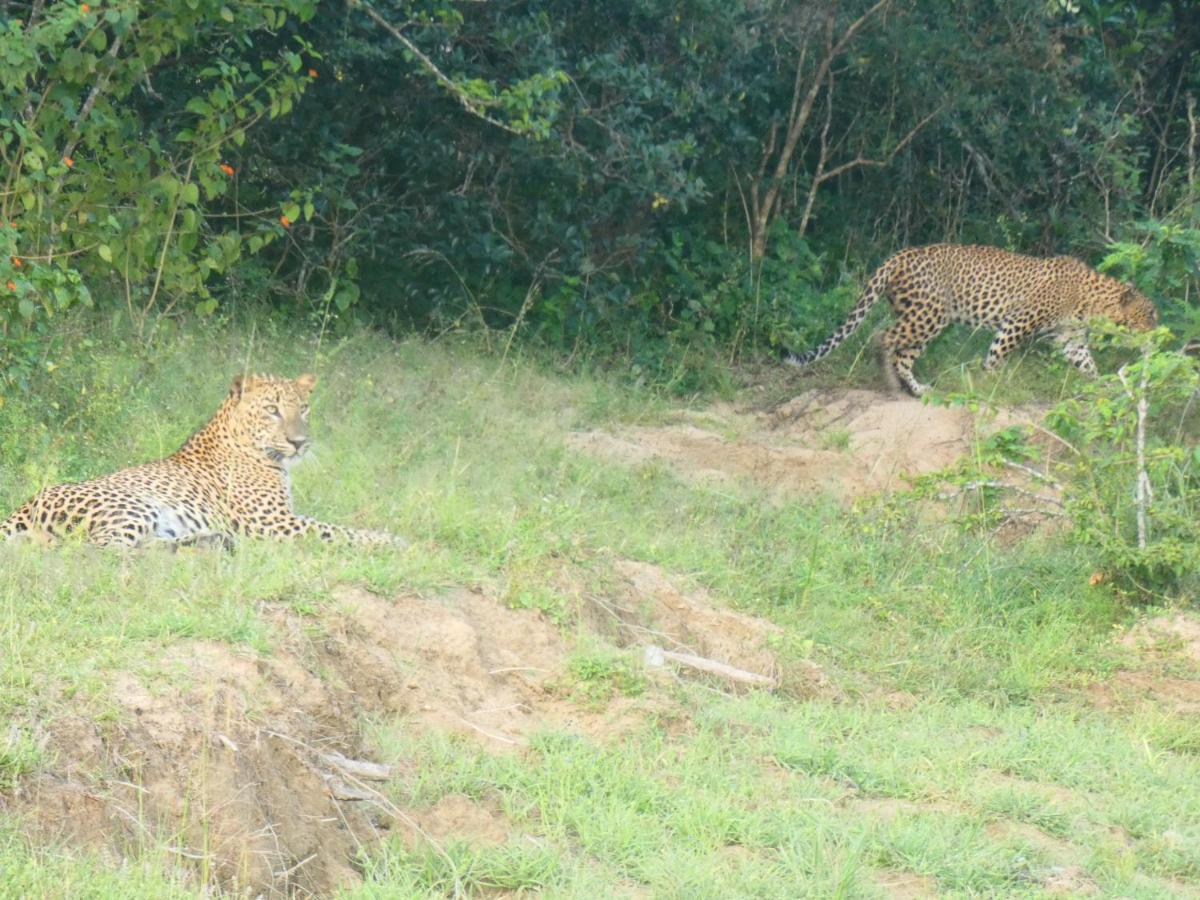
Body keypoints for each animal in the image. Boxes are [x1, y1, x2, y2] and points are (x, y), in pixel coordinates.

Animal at [0, 374, 408, 549]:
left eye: (303, 408)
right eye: (273, 410)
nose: (300, 442)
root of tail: (25, 503)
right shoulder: (273, 522)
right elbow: (334, 529)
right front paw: (392, 540)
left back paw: (213, 539)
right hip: (132, 505)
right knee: (101, 551)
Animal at [782, 241, 1156, 396]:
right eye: (1149, 315)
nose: (1157, 333)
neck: (1093, 304)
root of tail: (900, 254)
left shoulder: (1070, 338)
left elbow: (1086, 363)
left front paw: (1101, 385)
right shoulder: (1018, 321)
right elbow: (997, 353)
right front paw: (990, 382)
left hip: (924, 318)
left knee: (903, 354)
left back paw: (917, 389)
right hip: (928, 315)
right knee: (883, 338)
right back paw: (890, 383)